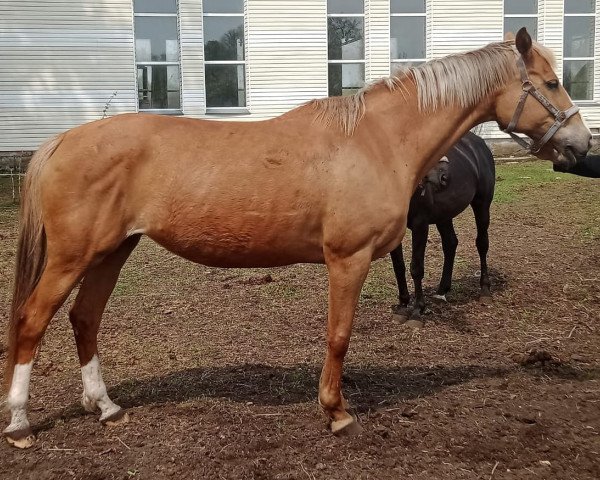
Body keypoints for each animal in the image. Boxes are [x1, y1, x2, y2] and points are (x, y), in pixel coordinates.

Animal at [392, 131, 494, 326]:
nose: (443, 176)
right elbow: (398, 266)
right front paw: (402, 306)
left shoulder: (420, 224)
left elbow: (416, 267)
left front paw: (417, 311)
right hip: (444, 215)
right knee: (450, 244)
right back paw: (442, 290)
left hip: (482, 205)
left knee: (482, 243)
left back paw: (484, 289)